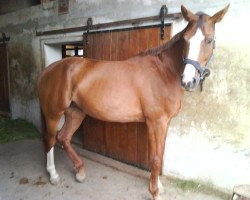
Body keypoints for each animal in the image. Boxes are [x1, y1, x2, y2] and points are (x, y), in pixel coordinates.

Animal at [37, 5, 229, 200]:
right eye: (185, 39)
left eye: (209, 40)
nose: (188, 81)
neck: (163, 72)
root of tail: (48, 70)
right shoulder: (155, 122)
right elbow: (155, 158)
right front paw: (154, 192)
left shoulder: (165, 123)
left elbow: (160, 153)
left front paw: (158, 185)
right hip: (53, 114)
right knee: (50, 139)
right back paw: (53, 175)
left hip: (76, 112)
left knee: (63, 137)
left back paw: (80, 171)